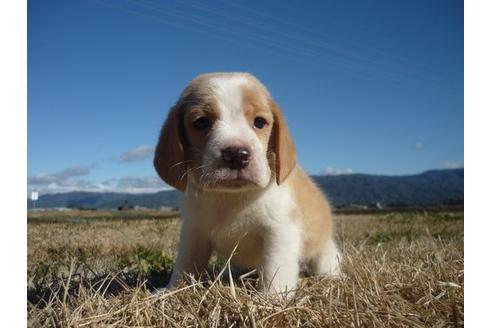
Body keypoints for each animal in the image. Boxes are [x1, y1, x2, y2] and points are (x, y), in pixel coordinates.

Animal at [156, 72, 340, 294]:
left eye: (260, 122)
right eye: (200, 123)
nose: (236, 155)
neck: (230, 197)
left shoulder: (280, 231)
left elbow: (275, 267)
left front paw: (272, 297)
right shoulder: (194, 231)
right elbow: (185, 264)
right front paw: (171, 290)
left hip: (323, 255)